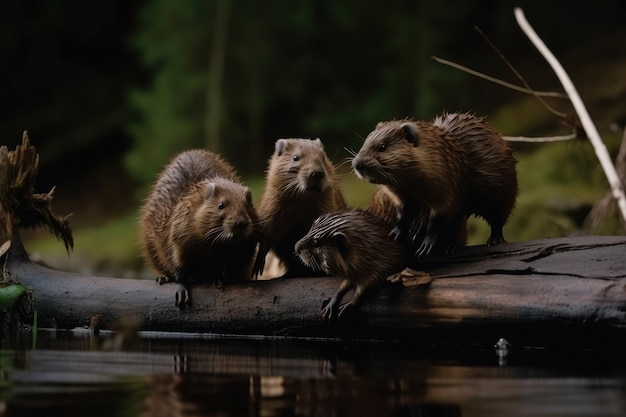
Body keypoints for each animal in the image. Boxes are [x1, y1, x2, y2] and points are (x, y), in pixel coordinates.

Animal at [138, 148, 260, 304]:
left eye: (247, 204)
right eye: (221, 205)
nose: (240, 223)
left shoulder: (247, 245)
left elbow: (239, 260)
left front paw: (222, 278)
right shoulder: (179, 232)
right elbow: (177, 264)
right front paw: (182, 290)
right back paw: (164, 278)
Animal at [256, 138, 348, 278]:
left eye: (323, 157)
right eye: (295, 158)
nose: (317, 174)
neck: (302, 200)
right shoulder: (271, 207)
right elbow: (267, 233)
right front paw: (257, 267)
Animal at [352, 111, 516, 256]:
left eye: (382, 146)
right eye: (365, 143)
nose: (357, 164)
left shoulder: (447, 187)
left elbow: (439, 217)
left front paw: (426, 246)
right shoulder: (404, 196)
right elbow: (405, 214)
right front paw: (395, 234)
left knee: (498, 218)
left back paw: (493, 239)